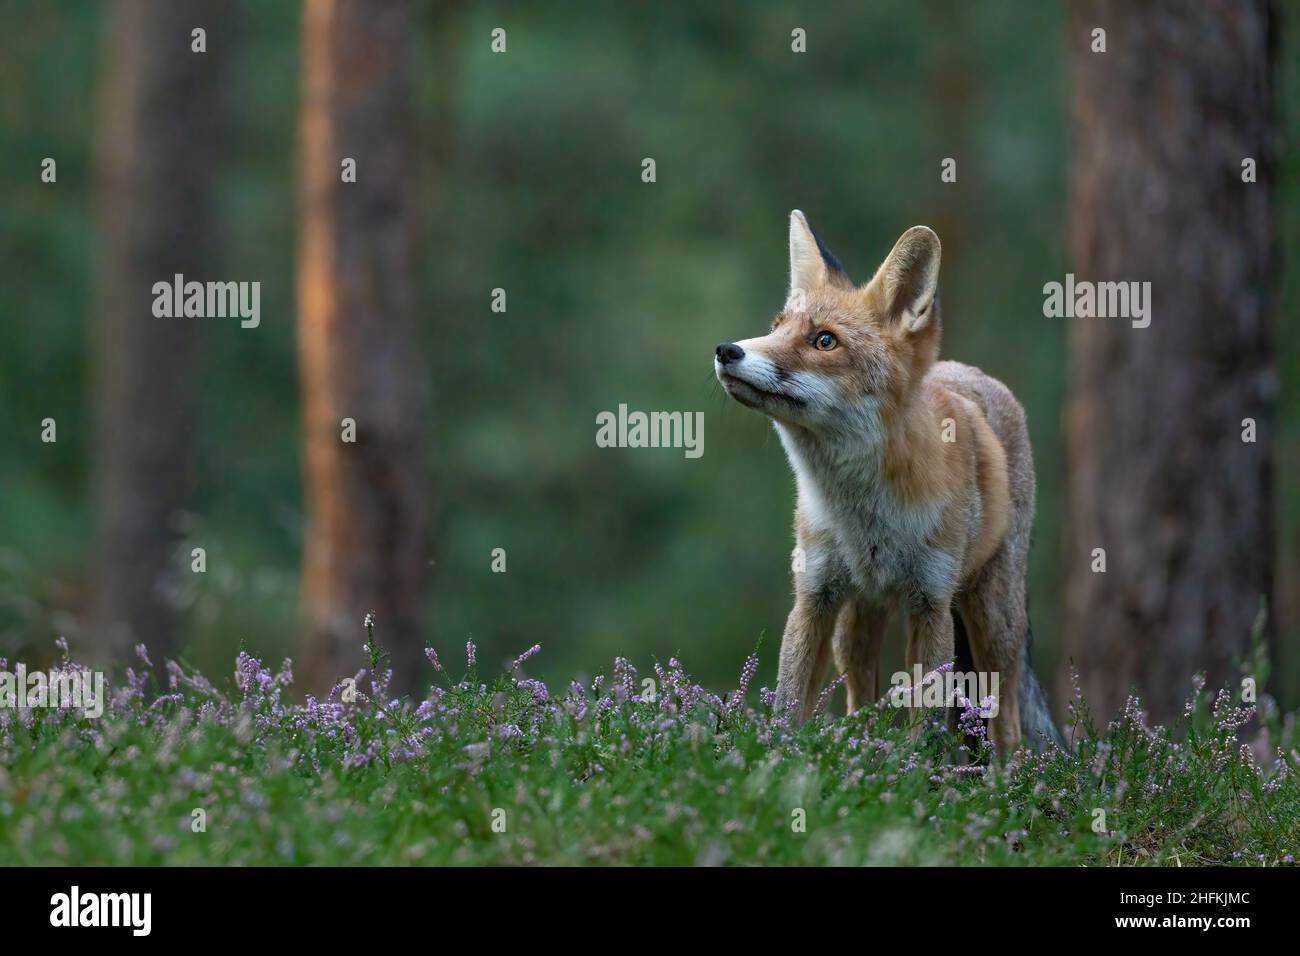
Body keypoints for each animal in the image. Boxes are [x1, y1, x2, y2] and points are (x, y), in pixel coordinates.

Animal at [717, 209, 1060, 754]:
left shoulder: (930, 603)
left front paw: (919, 769)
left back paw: (1009, 774)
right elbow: (790, 702)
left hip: (992, 618)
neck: (865, 515)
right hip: (859, 618)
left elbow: (926, 721)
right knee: (861, 697)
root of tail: (972, 372)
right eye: (775, 328)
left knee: (1005, 721)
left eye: (825, 340)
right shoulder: (814, 596)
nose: (727, 351)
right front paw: (776, 756)